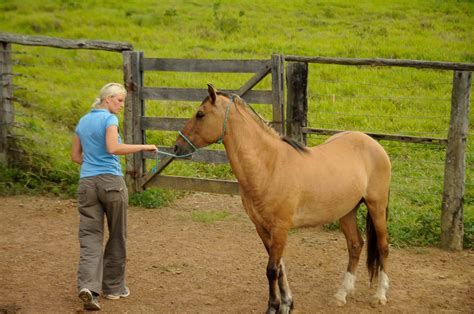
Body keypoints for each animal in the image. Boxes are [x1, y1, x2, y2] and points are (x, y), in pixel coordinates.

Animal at [172, 84, 390, 312]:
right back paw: (341, 295)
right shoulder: (262, 227)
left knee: (383, 246)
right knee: (355, 245)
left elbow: (272, 269)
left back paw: (380, 295)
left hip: (377, 206)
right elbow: (279, 267)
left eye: (200, 114)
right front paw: (286, 303)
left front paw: (274, 306)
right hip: (347, 211)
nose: (177, 147)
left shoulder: (280, 228)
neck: (269, 165)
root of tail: (372, 143)